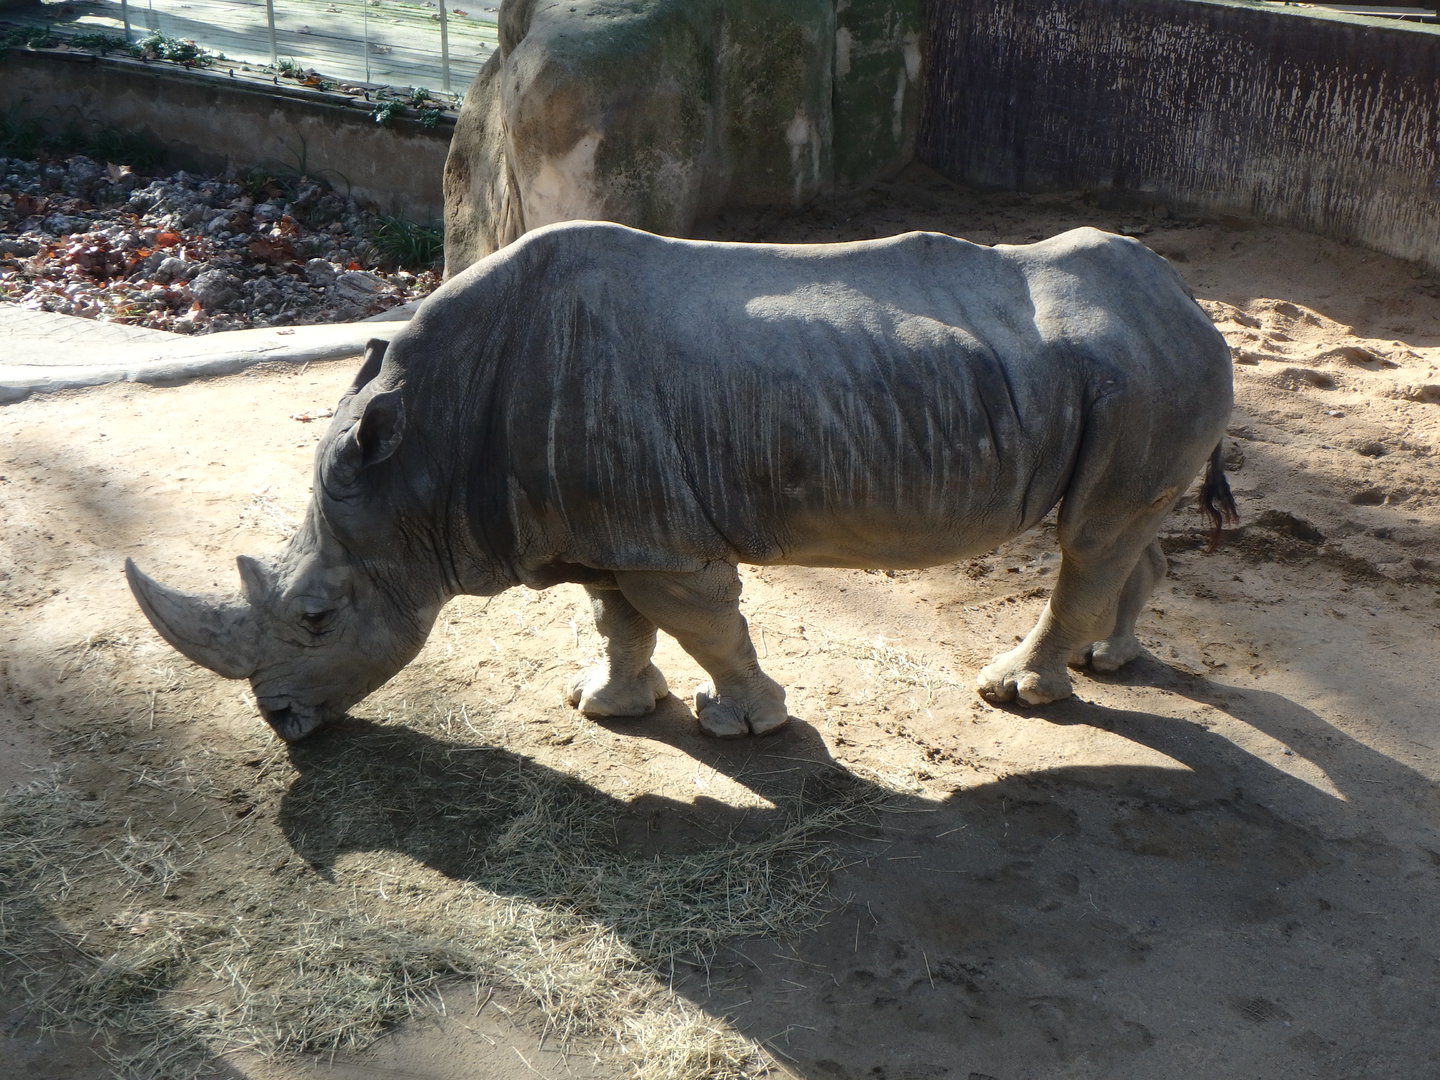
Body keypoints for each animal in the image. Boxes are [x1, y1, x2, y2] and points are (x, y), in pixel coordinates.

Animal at [127, 220, 1236, 742]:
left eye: (317, 617)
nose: (279, 723)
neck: (425, 453)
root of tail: (1189, 298)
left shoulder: (660, 539)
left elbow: (704, 622)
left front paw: (745, 725)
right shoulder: (604, 527)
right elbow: (619, 618)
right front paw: (607, 707)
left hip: (1143, 369)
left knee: (1091, 538)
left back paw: (1018, 694)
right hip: (1134, 373)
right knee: (1117, 533)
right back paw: (1110, 661)